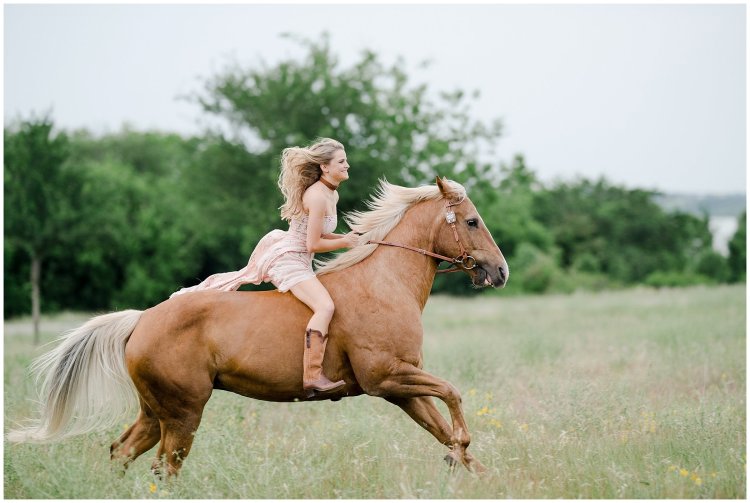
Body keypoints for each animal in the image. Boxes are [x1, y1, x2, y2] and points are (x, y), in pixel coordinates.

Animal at [8, 177, 509, 477]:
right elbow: (452, 394)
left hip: (155, 412)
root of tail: (140, 321)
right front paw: (462, 449)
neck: (386, 284)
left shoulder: (399, 386)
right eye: (472, 221)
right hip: (183, 414)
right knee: (163, 468)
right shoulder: (386, 377)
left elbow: (441, 426)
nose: (500, 271)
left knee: (122, 452)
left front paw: (472, 468)